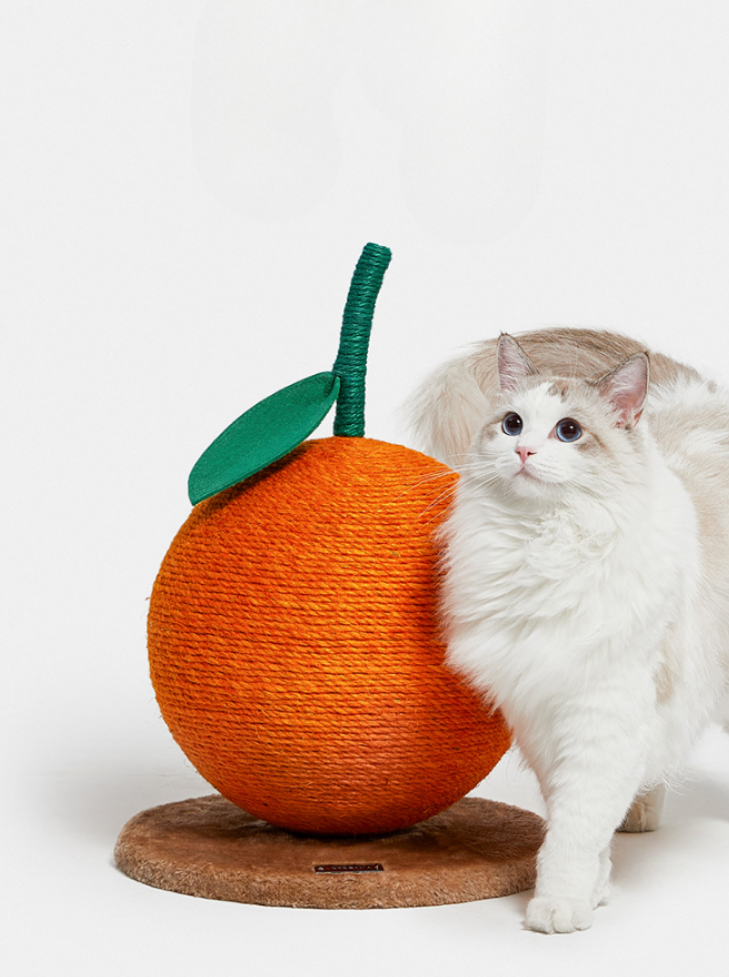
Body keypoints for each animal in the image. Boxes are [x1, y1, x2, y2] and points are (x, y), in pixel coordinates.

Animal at [406, 332, 728, 936]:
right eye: (512, 424)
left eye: (569, 432)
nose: (524, 453)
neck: (541, 546)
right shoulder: (541, 710)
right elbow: (573, 818)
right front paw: (595, 890)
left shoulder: (603, 714)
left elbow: (576, 828)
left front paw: (559, 908)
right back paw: (640, 815)